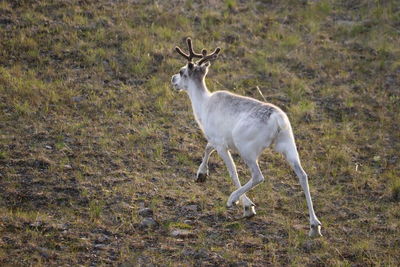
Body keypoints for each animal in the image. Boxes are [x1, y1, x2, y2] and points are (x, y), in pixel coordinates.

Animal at [170, 38, 322, 239]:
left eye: (182, 72)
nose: (172, 80)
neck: (203, 104)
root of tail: (277, 120)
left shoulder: (222, 143)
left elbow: (231, 170)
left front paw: (247, 207)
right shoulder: (218, 140)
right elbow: (207, 148)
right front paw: (201, 175)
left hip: (247, 149)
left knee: (258, 176)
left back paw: (232, 199)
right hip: (288, 145)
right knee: (302, 175)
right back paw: (314, 226)